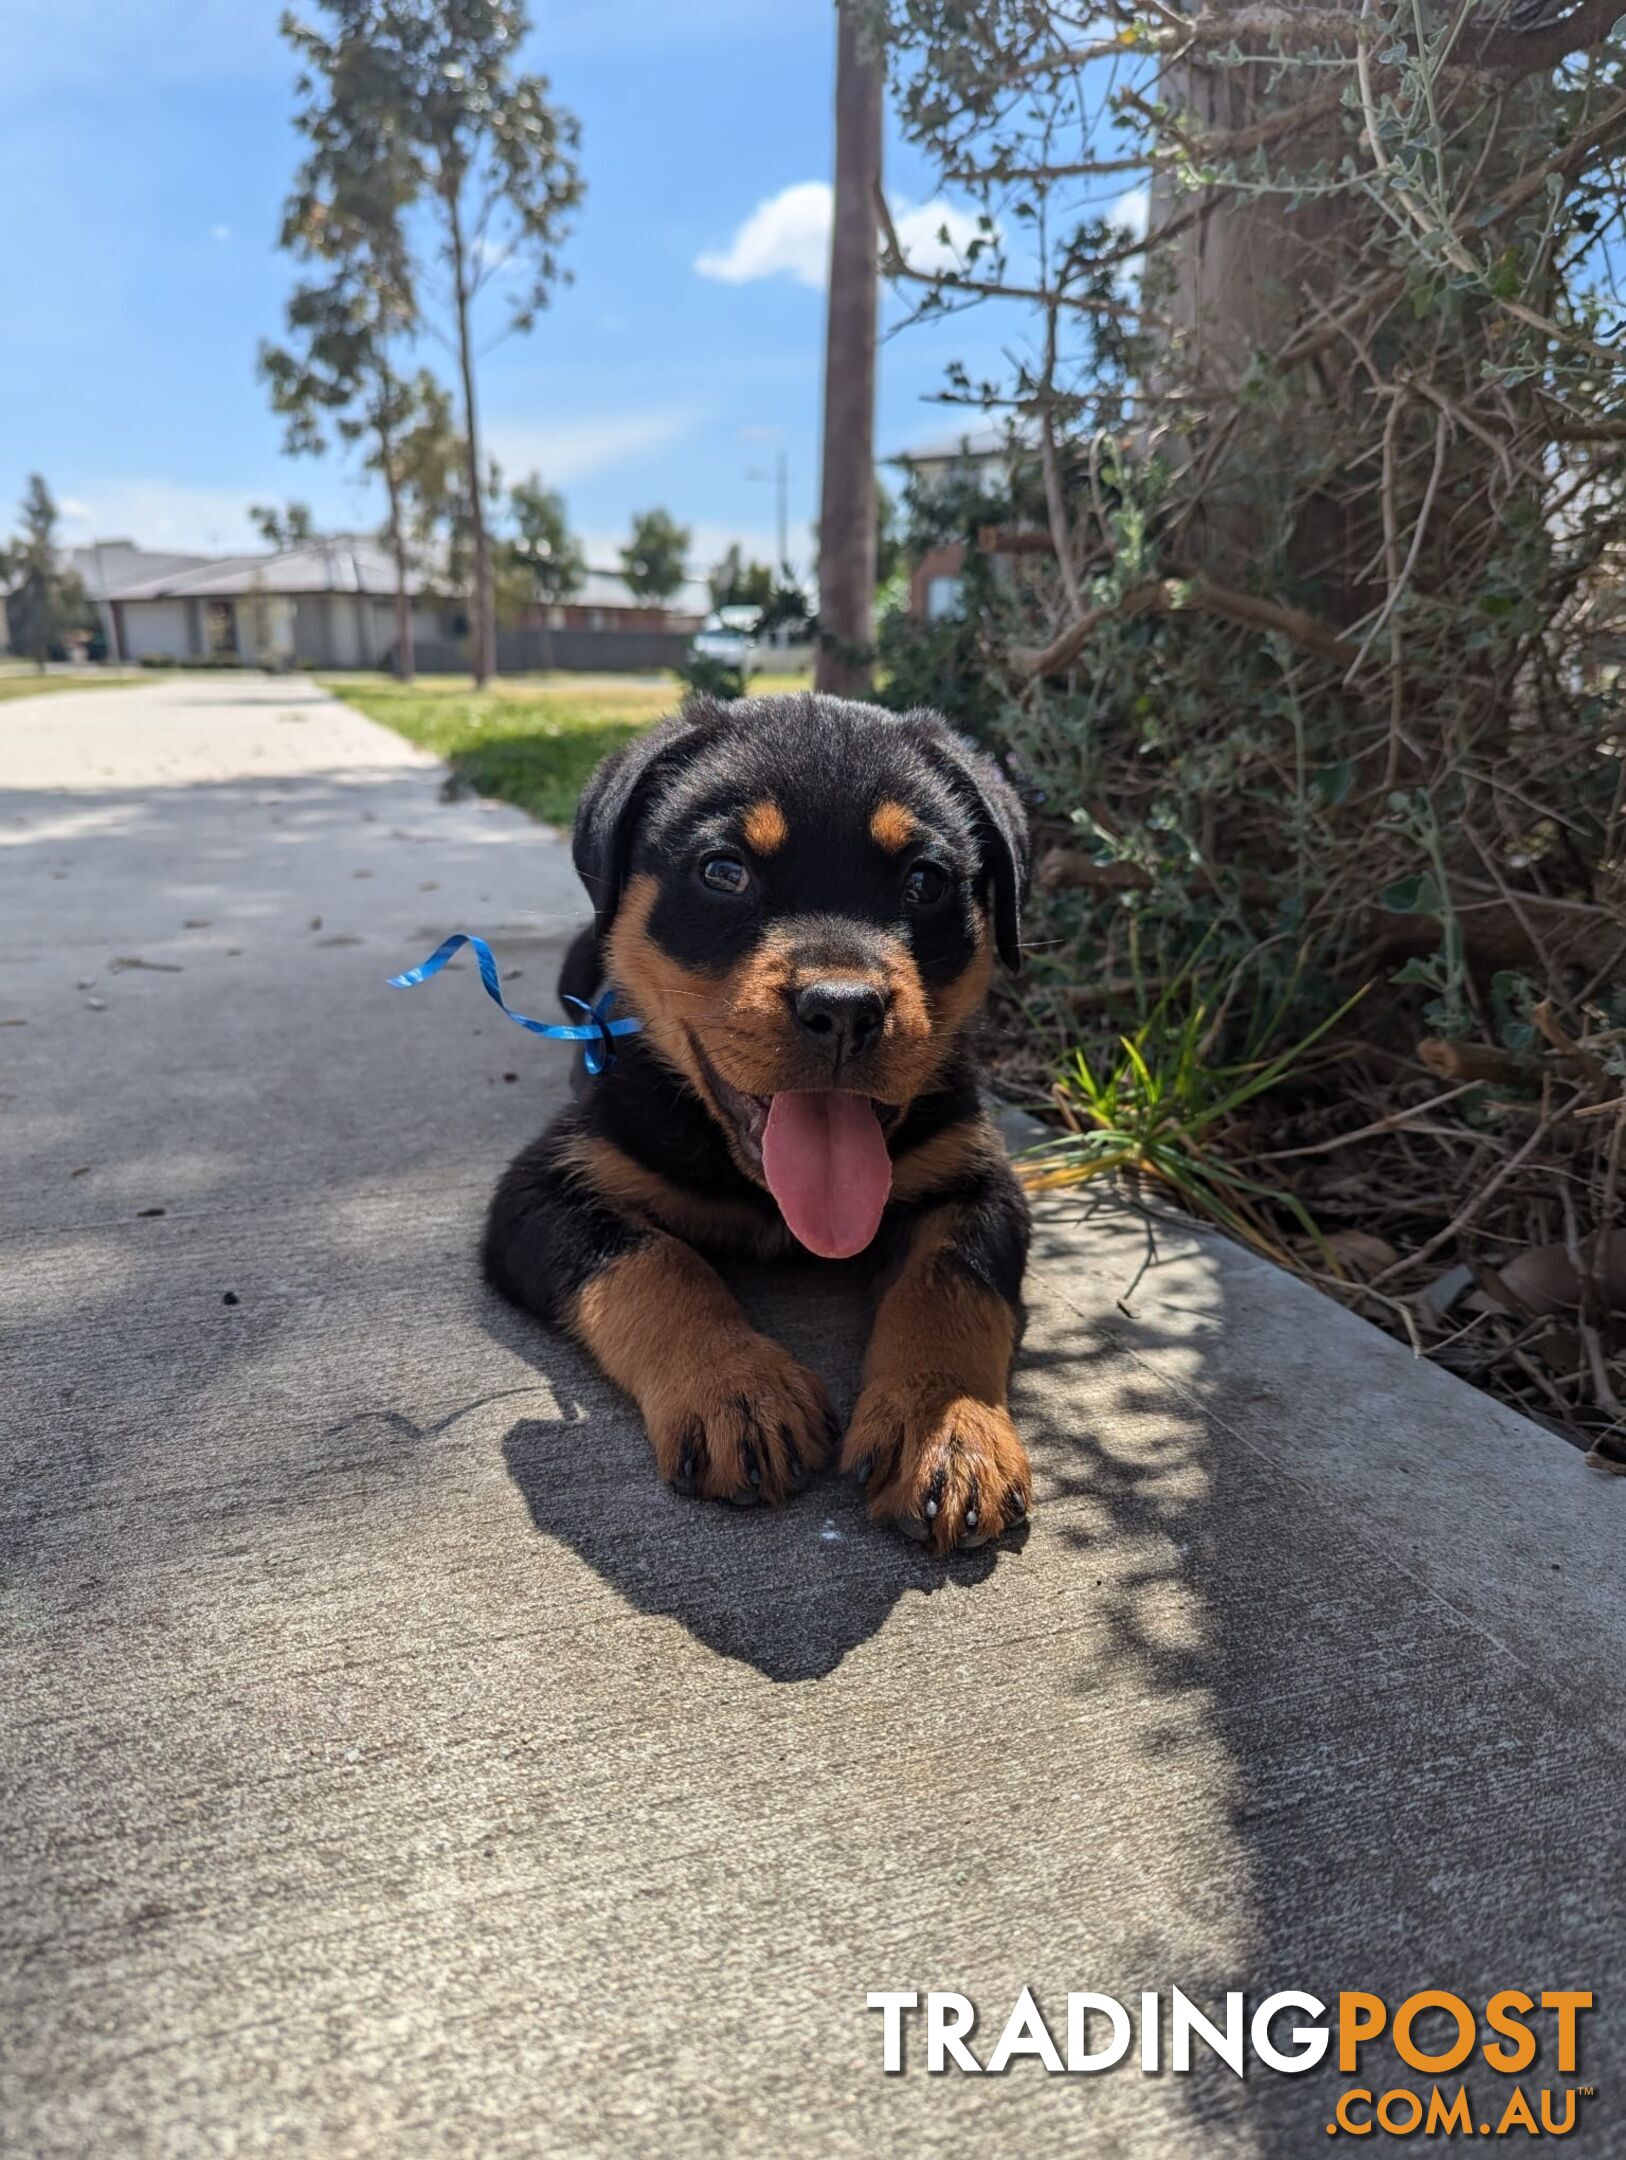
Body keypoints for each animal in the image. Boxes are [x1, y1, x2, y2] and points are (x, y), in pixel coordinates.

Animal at [481, 691, 1032, 1555]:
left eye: (927, 881)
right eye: (723, 872)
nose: (844, 1008)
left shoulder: (976, 1179)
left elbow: (951, 1283)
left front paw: (948, 1429)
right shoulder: (545, 1186)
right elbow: (656, 1263)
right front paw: (737, 1390)